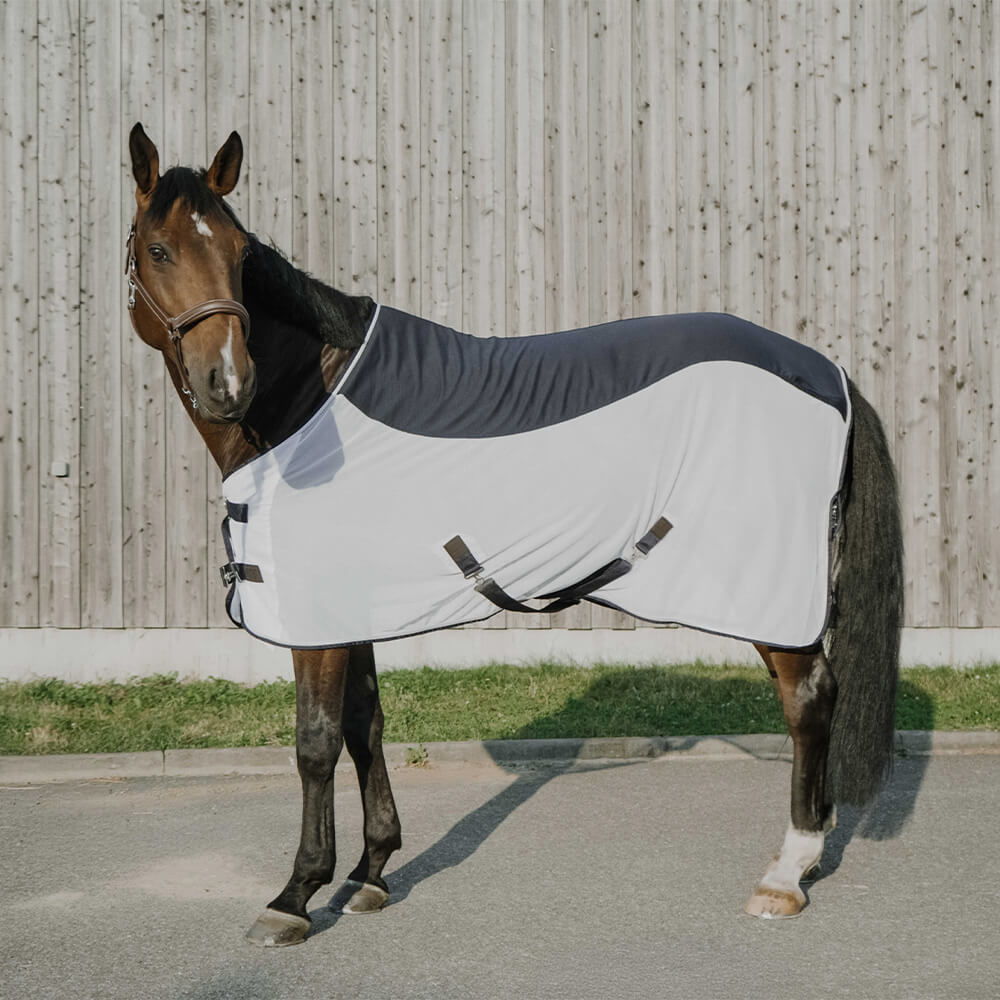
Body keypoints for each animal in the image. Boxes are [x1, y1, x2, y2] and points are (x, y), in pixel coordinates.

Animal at [125, 124, 903, 946]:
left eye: (241, 253)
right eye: (158, 249)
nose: (228, 382)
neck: (312, 394)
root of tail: (825, 371)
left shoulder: (317, 619)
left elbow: (315, 742)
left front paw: (296, 895)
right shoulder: (352, 607)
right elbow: (366, 726)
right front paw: (372, 873)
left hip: (769, 591)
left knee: (809, 699)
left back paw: (787, 872)